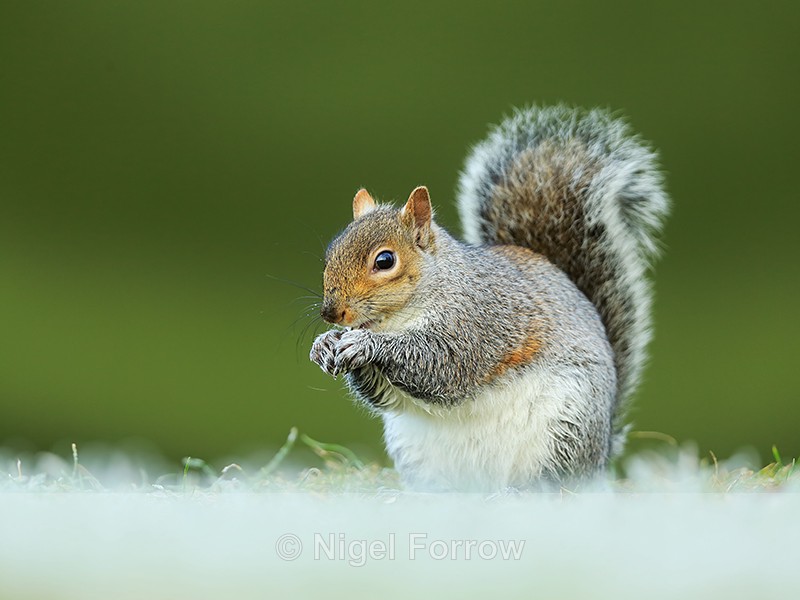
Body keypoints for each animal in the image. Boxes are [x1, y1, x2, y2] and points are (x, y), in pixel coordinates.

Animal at [309, 105, 668, 491]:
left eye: (385, 260)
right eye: (330, 253)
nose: (331, 313)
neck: (399, 316)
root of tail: (601, 455)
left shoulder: (478, 322)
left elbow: (440, 363)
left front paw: (366, 345)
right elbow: (385, 395)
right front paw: (325, 343)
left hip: (567, 429)